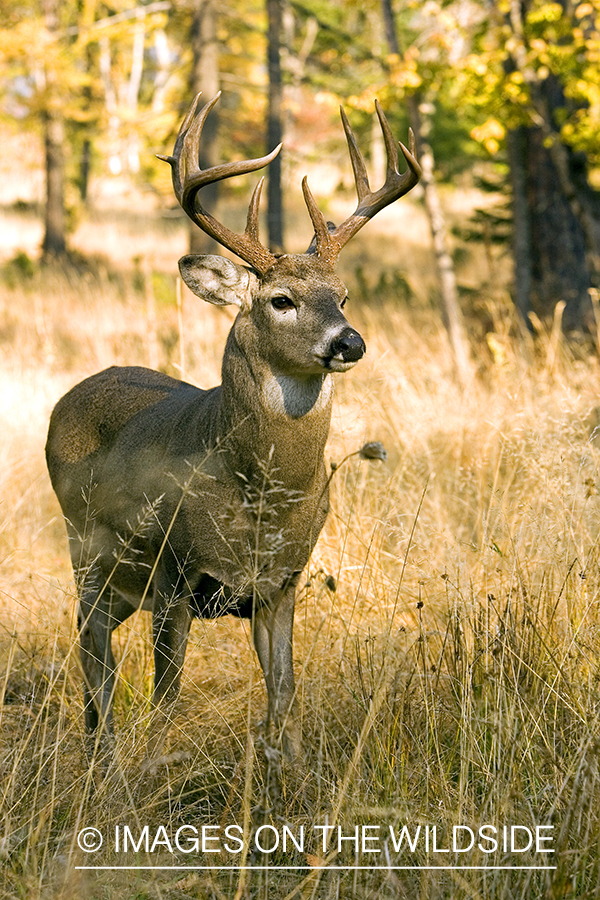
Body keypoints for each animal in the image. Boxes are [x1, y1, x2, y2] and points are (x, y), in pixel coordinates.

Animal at [47, 91, 420, 764]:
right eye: (281, 300)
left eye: (342, 297)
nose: (350, 343)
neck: (259, 495)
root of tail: (72, 394)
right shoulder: (177, 573)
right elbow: (166, 696)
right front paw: (154, 769)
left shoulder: (281, 583)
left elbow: (284, 692)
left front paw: (290, 769)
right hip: (86, 551)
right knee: (94, 658)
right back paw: (104, 756)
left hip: (120, 581)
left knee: (98, 657)